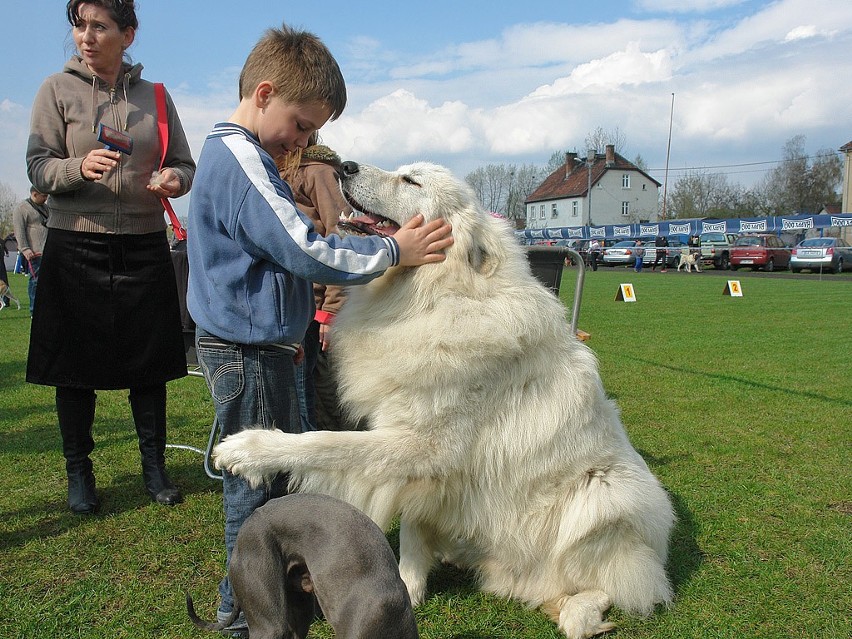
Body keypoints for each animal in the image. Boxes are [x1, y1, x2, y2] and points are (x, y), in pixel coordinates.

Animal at [215, 161, 680, 639]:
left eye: (411, 182)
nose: (344, 165)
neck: (440, 294)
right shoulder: (427, 467)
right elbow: (412, 523)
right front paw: (409, 584)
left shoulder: (422, 445)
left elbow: (324, 443)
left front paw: (249, 449)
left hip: (606, 496)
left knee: (622, 588)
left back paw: (578, 612)